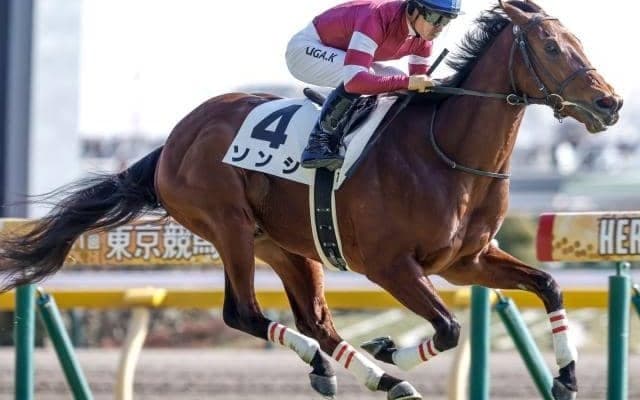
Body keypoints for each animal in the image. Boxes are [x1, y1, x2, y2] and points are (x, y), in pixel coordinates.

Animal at [0, 1, 622, 399]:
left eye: (580, 42)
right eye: (550, 45)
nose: (610, 103)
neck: (445, 154)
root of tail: (173, 140)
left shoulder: (466, 262)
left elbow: (548, 284)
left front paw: (566, 378)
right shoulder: (390, 266)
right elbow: (448, 328)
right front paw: (390, 348)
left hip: (285, 243)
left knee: (316, 320)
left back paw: (368, 376)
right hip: (228, 226)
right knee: (244, 313)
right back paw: (362, 370)